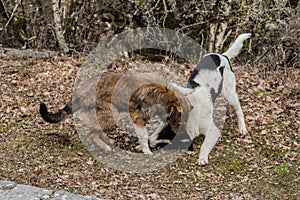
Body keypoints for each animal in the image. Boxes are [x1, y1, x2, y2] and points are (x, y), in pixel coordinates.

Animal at [150, 33, 251, 166]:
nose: (150, 142)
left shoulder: (213, 130)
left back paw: (242, 128)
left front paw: (202, 157)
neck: (190, 117)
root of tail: (223, 56)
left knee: (239, 110)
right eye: (162, 131)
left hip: (230, 94)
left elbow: (205, 144)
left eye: (166, 142)